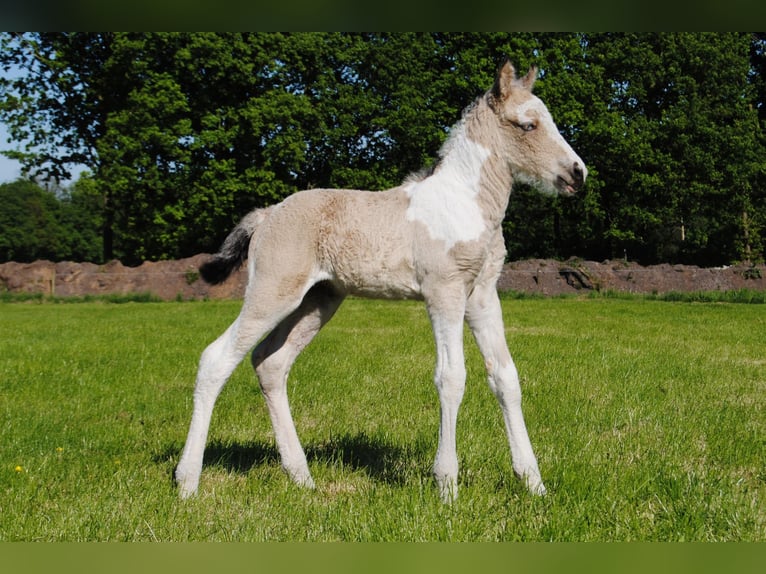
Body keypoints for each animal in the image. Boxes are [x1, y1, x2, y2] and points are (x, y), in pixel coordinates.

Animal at [175, 60, 587, 501]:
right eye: (528, 125)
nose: (577, 173)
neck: (464, 203)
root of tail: (267, 215)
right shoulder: (444, 292)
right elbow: (451, 377)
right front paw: (447, 486)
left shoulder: (482, 295)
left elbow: (506, 377)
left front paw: (534, 483)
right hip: (273, 293)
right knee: (216, 359)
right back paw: (187, 482)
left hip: (318, 300)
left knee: (270, 363)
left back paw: (302, 477)